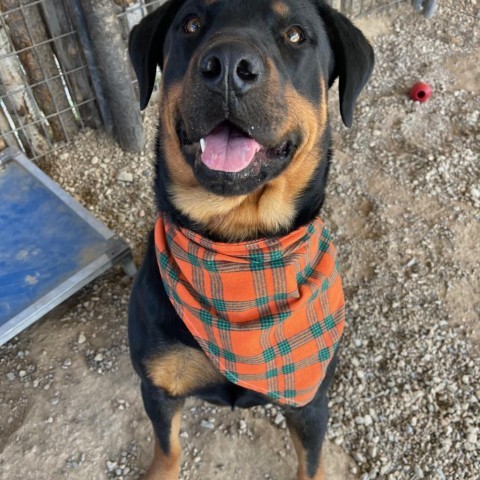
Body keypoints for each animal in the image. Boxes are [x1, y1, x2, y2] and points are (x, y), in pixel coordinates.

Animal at [128, 1, 376, 478]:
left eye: (296, 35)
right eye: (191, 25)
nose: (227, 66)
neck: (240, 245)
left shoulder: (310, 400)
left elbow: (312, 463)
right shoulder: (158, 387)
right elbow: (167, 450)